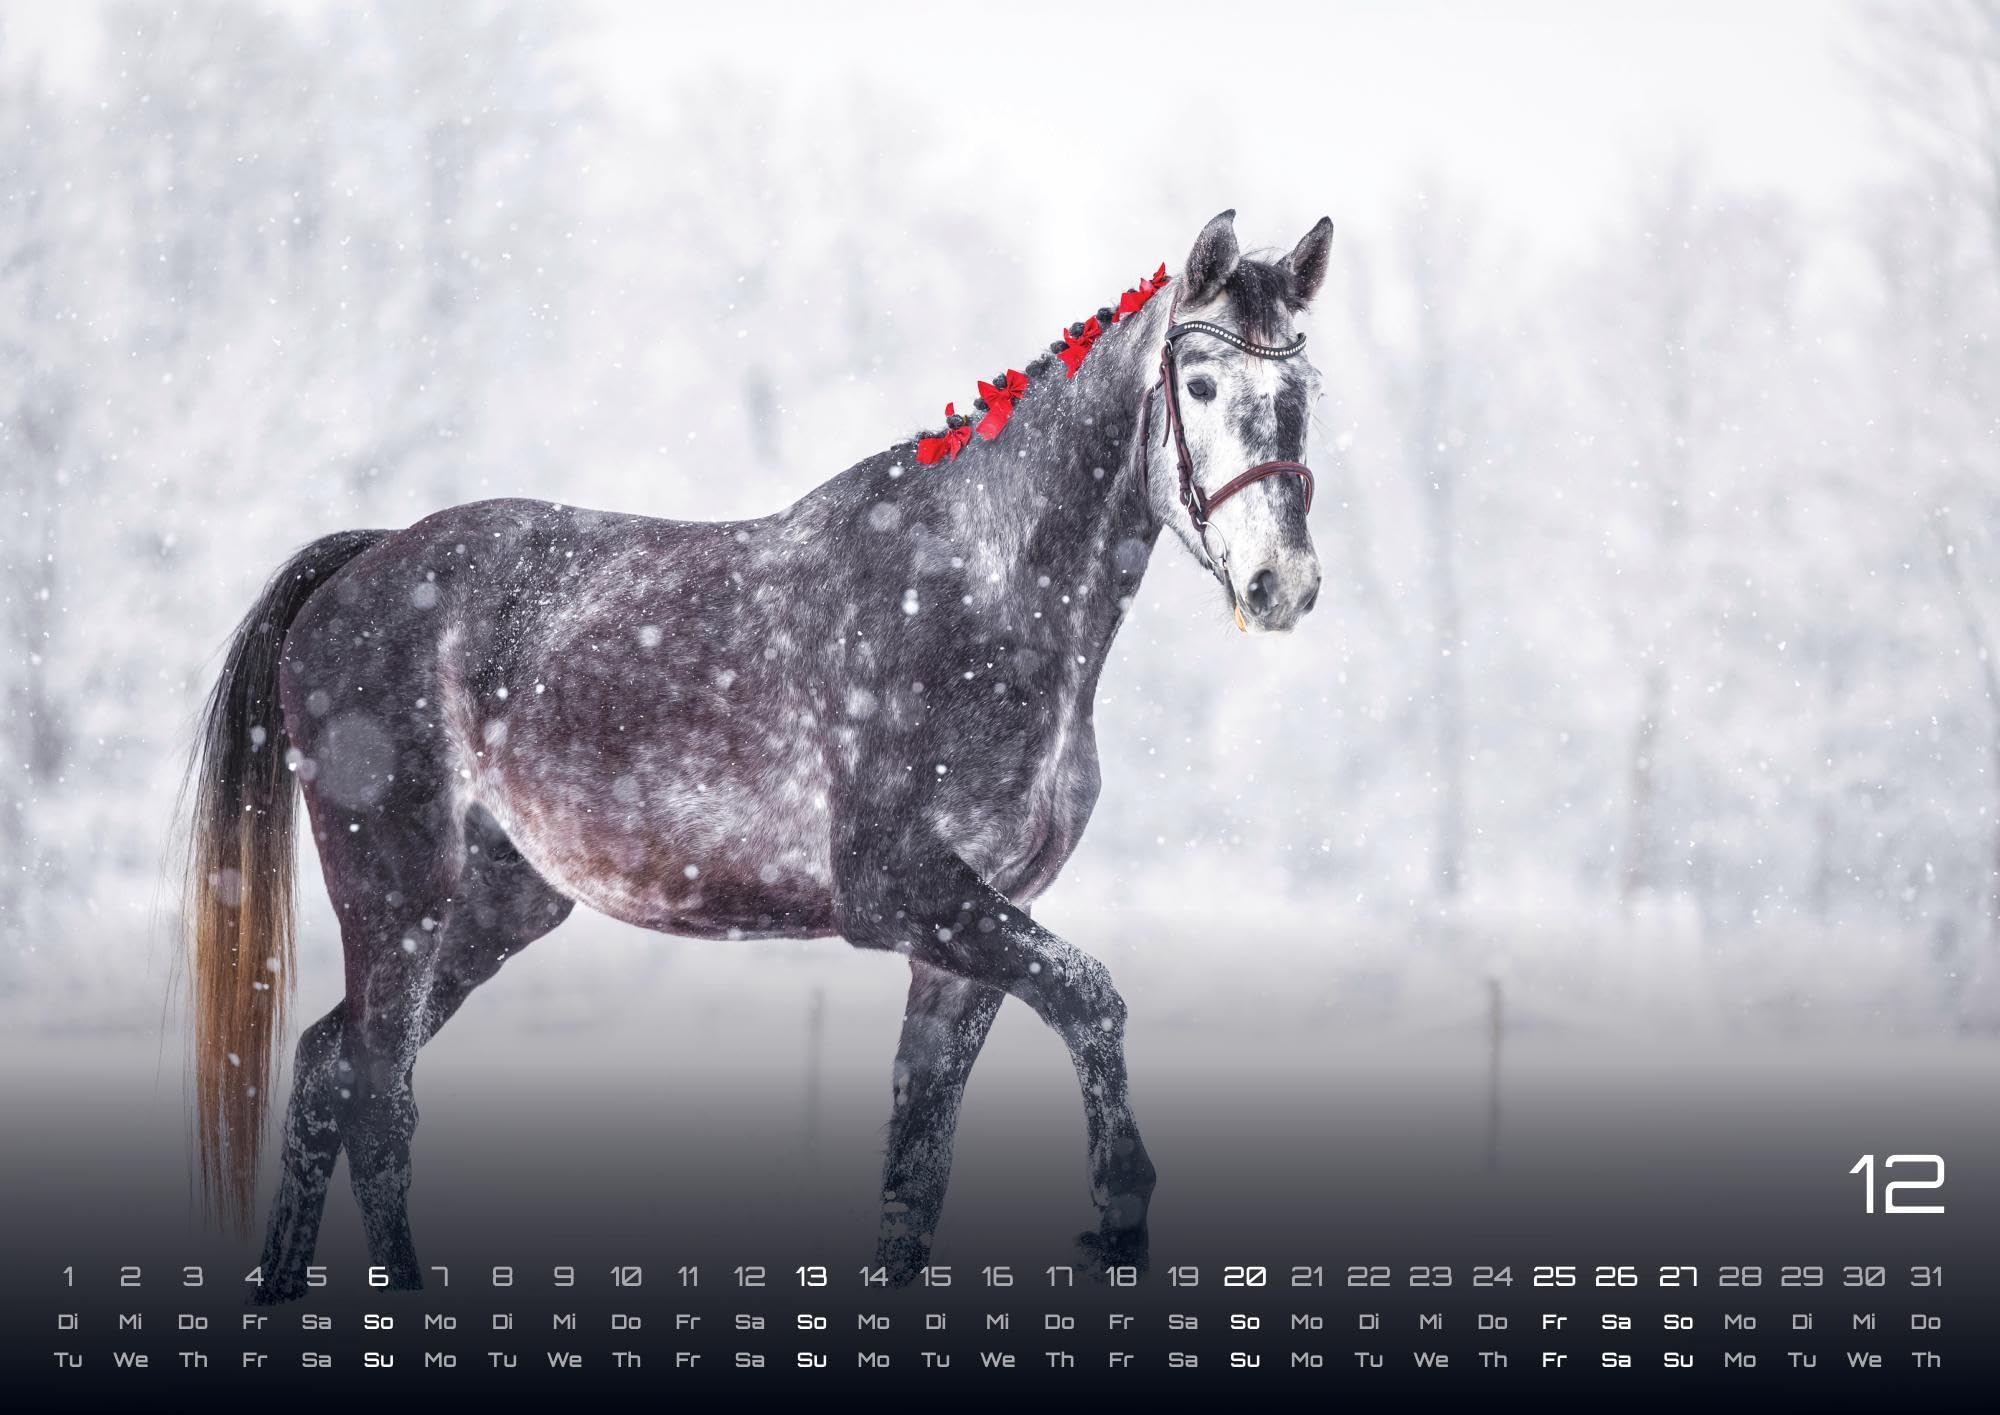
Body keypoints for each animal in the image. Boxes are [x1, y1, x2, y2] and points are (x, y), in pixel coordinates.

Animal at [181, 209, 1332, 1300]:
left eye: (1303, 386)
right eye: (1199, 383)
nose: (1282, 583)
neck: (981, 598)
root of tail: (364, 563)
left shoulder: (969, 931)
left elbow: (918, 1164)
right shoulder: (899, 891)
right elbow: (1091, 994)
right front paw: (1118, 1214)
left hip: (501, 904)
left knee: (327, 1068)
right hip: (398, 892)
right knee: (378, 1099)